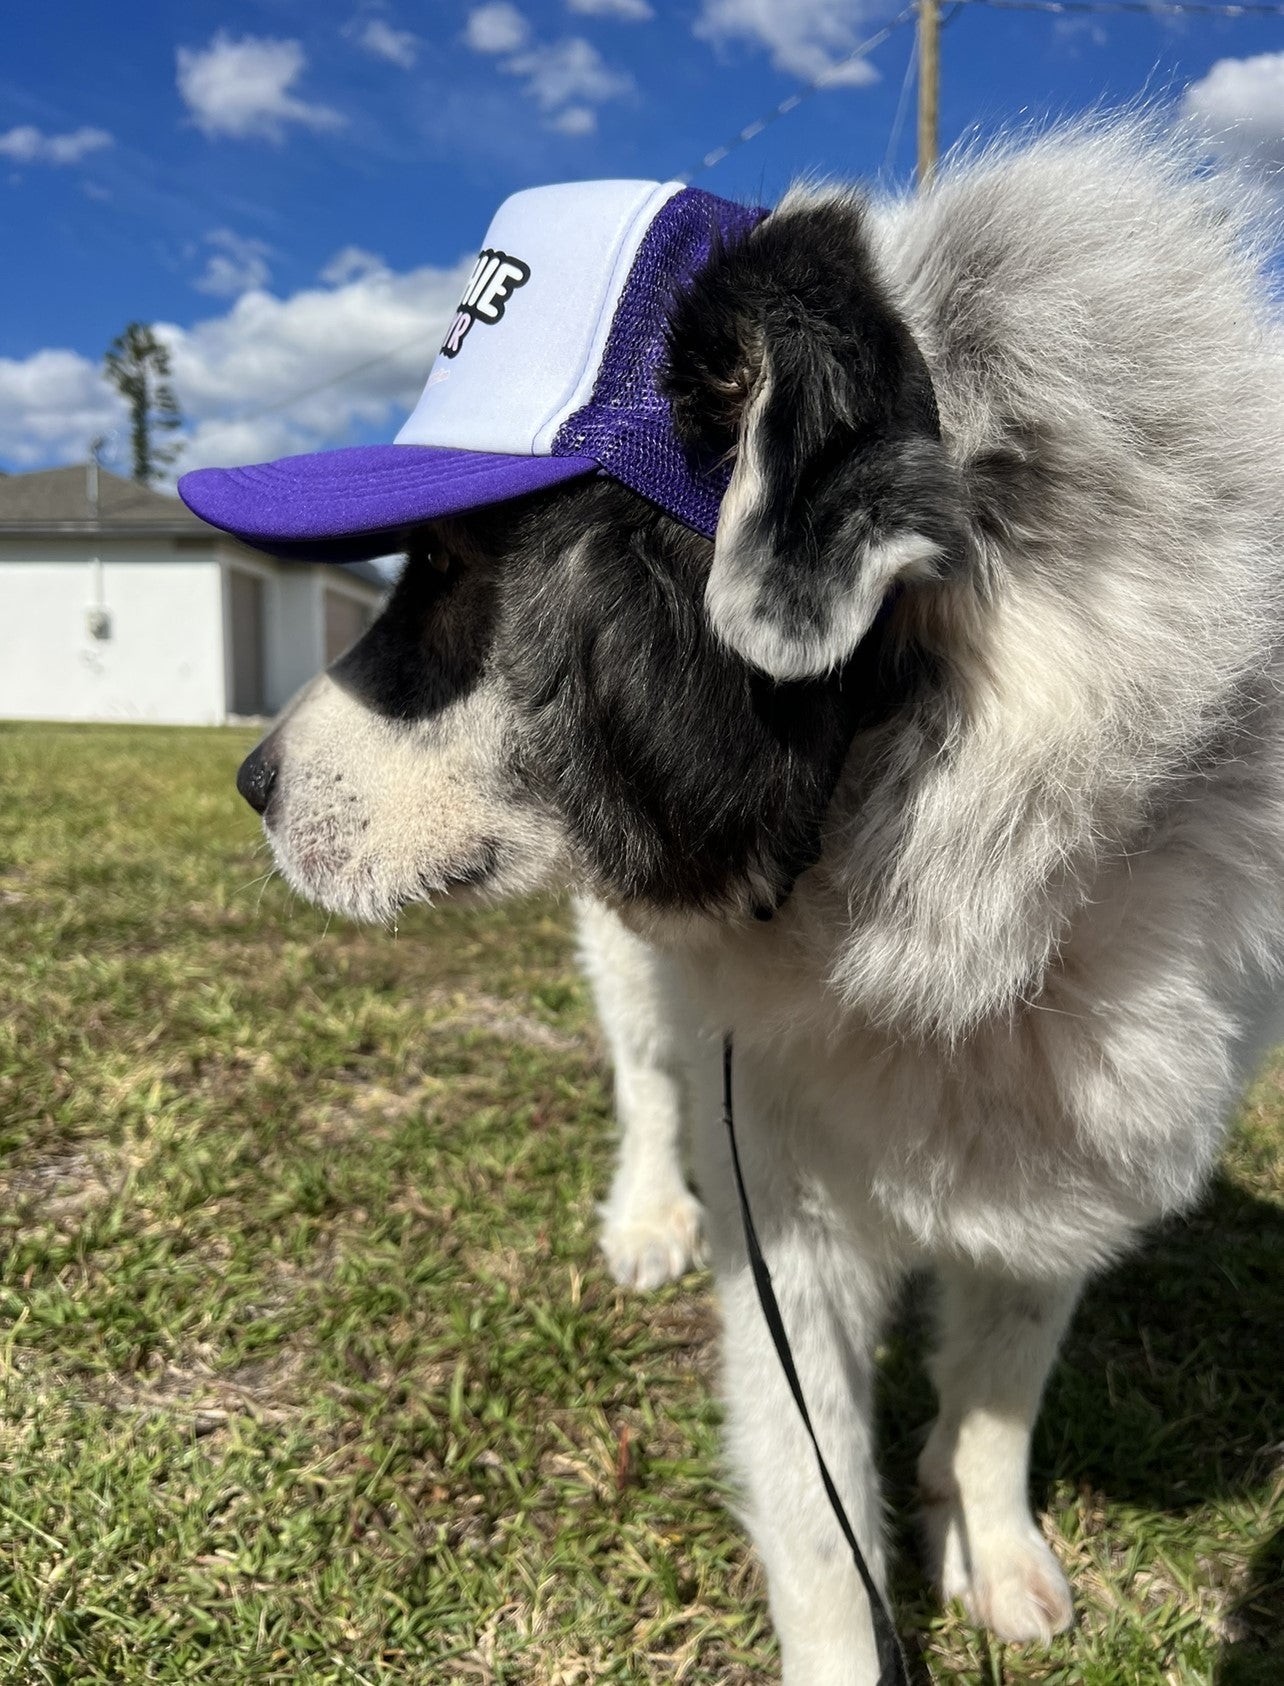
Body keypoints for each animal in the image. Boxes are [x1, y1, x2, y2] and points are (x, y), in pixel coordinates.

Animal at [227, 122, 1280, 1686]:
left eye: (463, 569)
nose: (246, 777)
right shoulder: (785, 1210)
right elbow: (820, 1513)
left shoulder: (1086, 1148)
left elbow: (1003, 1379)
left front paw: (989, 1537)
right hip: (631, 979)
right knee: (648, 1085)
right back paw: (649, 1217)